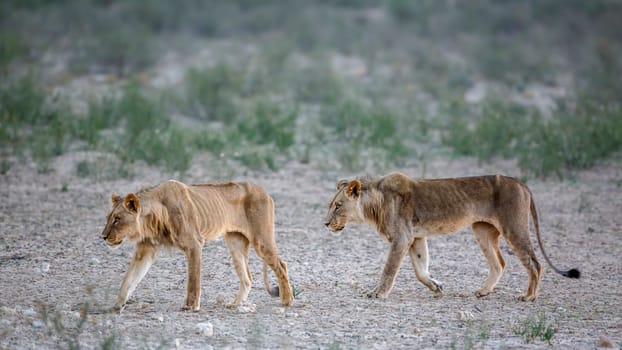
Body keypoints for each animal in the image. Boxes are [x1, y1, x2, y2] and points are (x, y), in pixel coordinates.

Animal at [100, 179, 294, 314]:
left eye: (117, 219)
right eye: (109, 218)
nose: (103, 237)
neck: (154, 218)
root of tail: (264, 191)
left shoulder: (194, 244)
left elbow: (193, 280)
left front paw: (191, 306)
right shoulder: (146, 250)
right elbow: (129, 279)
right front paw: (116, 306)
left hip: (261, 239)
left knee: (281, 265)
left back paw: (287, 301)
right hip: (235, 242)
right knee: (247, 277)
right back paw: (235, 303)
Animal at [324, 172, 584, 300]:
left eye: (338, 206)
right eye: (331, 205)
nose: (326, 223)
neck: (374, 203)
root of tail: (521, 183)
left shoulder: (402, 238)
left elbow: (388, 270)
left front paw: (377, 293)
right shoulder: (416, 238)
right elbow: (421, 269)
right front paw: (437, 287)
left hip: (514, 227)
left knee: (534, 263)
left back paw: (528, 297)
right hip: (482, 230)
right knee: (499, 263)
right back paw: (483, 292)